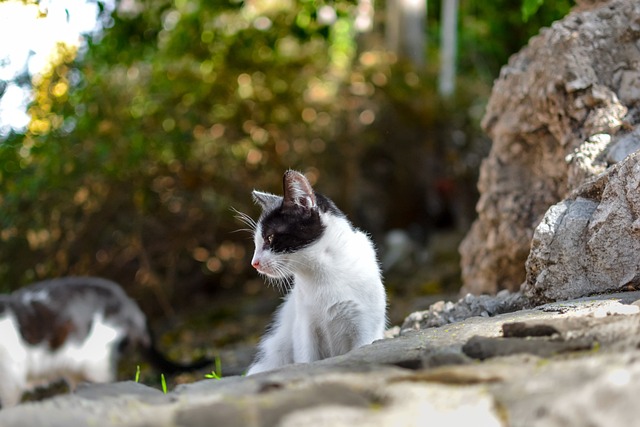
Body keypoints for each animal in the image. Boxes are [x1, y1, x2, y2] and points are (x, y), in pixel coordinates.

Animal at [242, 171, 388, 374]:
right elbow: (307, 360)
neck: (321, 272)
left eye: (270, 238)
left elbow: (363, 348)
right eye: (256, 242)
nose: (254, 263)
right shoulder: (304, 327)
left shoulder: (365, 326)